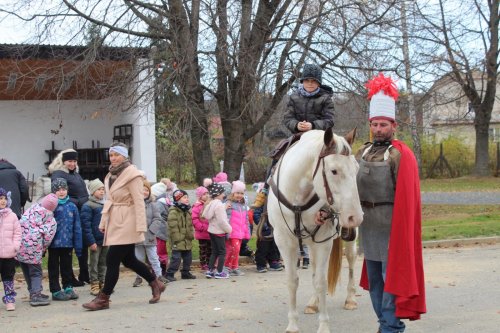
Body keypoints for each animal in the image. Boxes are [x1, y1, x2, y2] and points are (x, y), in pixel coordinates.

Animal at [270, 127, 364, 332]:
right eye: (334, 171)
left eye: (356, 169)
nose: (355, 216)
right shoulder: (283, 241)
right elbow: (292, 281)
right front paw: (292, 325)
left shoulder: (324, 241)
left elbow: (321, 282)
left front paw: (323, 326)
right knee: (313, 268)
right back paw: (313, 303)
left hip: (349, 239)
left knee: (351, 260)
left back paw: (350, 299)